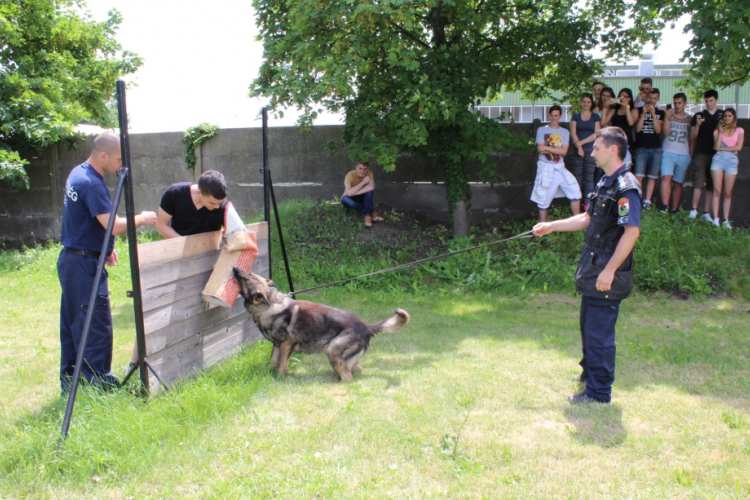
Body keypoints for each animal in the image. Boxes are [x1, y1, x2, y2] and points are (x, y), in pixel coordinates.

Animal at [234, 268, 412, 380]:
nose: (235, 268)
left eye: (246, 278)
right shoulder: (277, 346)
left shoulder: (286, 344)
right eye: (248, 274)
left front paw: (279, 379)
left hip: (333, 350)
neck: (270, 305)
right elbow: (273, 362)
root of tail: (366, 327)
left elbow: (281, 366)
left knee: (348, 377)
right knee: (356, 369)